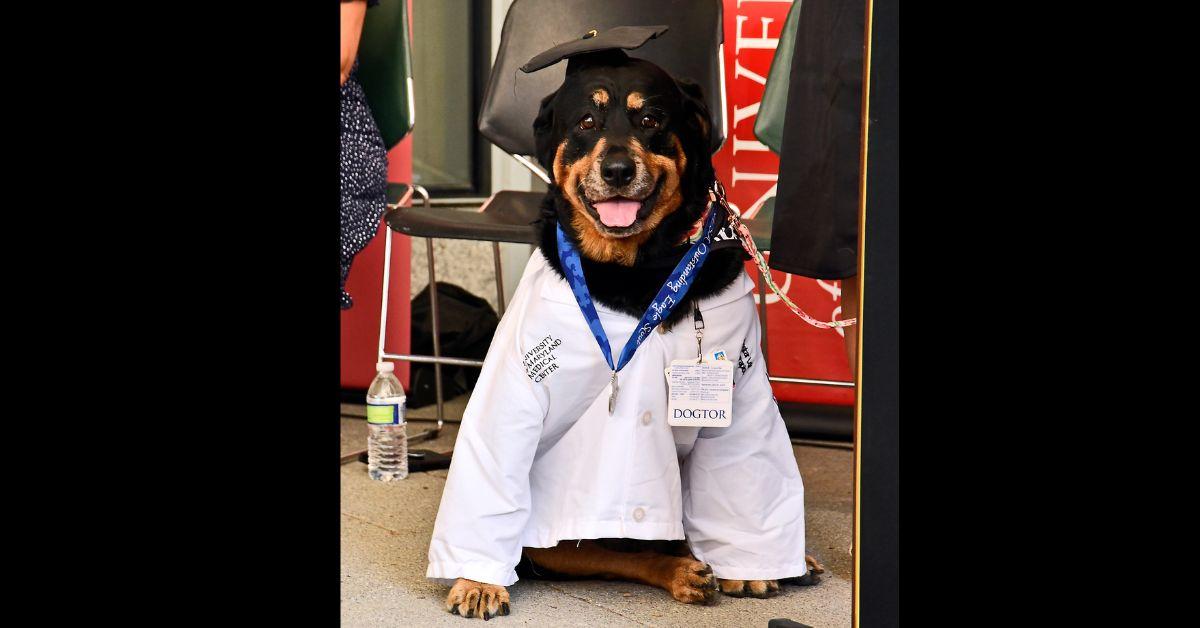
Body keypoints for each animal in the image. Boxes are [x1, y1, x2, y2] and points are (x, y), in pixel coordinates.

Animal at [427, 48, 820, 619]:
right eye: (586, 123)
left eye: (651, 119)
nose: (617, 169)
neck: (639, 271)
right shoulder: (515, 387)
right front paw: (477, 580)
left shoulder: (743, 399)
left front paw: (749, 567)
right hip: (553, 536)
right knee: (600, 551)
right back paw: (680, 569)